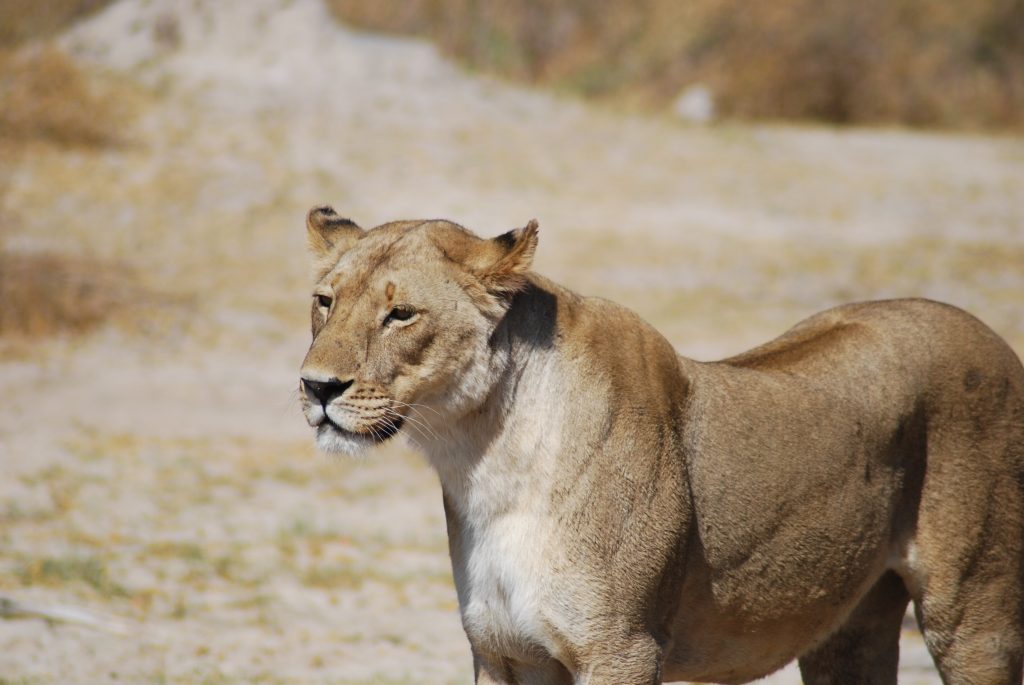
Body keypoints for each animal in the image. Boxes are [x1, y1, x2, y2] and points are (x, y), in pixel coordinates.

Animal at [298, 206, 1024, 684]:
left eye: (401, 314)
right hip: (847, 628)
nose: (316, 386)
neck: (483, 458)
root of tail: (992, 337)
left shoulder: (620, 647)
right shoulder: (504, 650)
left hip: (973, 617)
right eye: (324, 302)